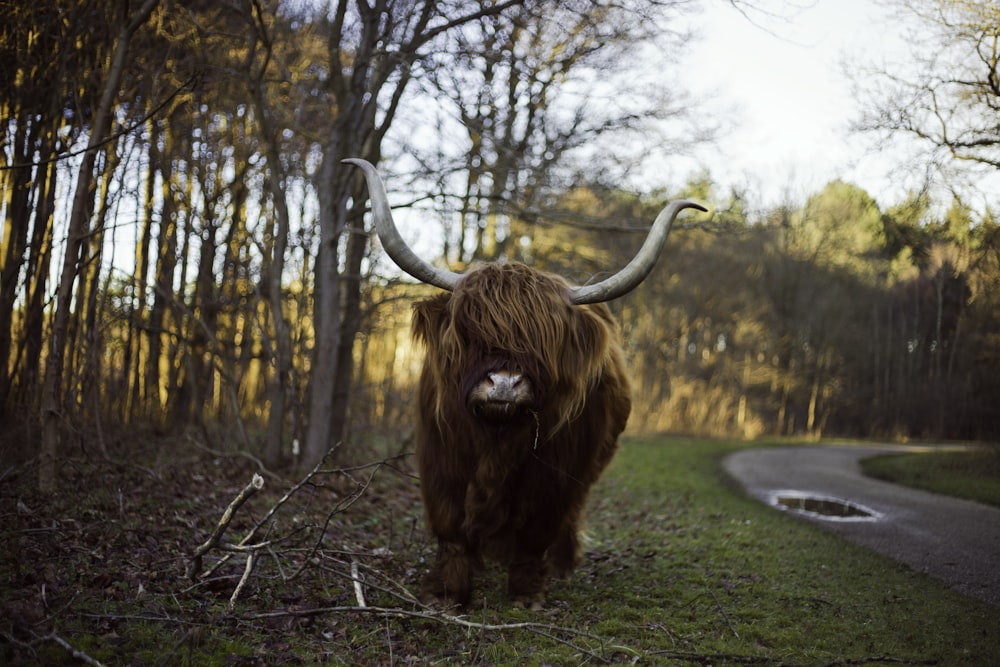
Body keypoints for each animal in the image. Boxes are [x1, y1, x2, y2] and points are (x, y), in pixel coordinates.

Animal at [348, 158, 708, 612]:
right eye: (469, 331)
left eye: (545, 342)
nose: (504, 383)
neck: (496, 439)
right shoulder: (440, 460)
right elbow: (451, 529)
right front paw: (446, 593)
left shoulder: (556, 474)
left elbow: (537, 529)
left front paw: (526, 594)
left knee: (570, 518)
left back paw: (563, 564)